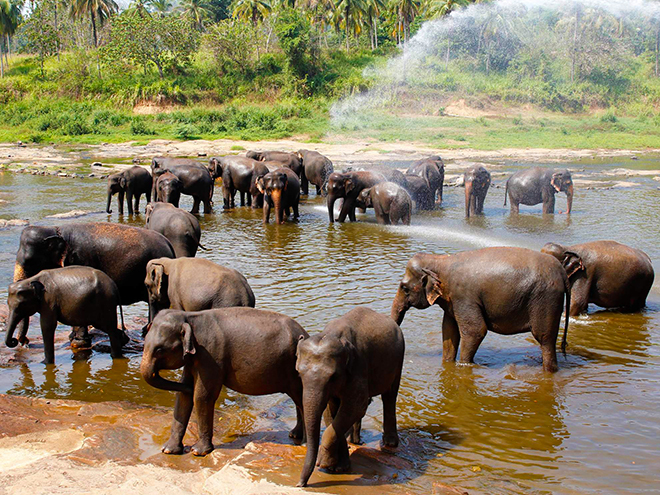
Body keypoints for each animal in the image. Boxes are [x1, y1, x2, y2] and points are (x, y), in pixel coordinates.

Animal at [13, 223, 175, 346]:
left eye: (29, 261)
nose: (24, 342)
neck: (55, 229)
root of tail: (169, 245)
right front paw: (73, 337)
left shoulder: (80, 260)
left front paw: (78, 341)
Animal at [140, 310, 310, 458]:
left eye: (160, 350)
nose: (190, 388)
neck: (189, 317)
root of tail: (305, 333)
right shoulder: (193, 361)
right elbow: (183, 397)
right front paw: (168, 450)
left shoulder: (210, 356)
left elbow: (202, 396)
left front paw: (198, 452)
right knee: (298, 401)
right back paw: (294, 434)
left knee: (301, 400)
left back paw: (303, 443)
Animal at [296, 306, 404, 488]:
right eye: (298, 373)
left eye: (332, 376)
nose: (300, 484)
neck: (333, 334)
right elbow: (330, 410)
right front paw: (337, 467)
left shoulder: (359, 365)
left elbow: (356, 406)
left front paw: (325, 463)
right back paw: (354, 441)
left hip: (398, 359)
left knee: (390, 395)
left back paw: (389, 443)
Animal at [392, 248, 572, 372]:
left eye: (404, 288)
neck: (440, 261)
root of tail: (562, 273)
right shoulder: (452, 301)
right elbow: (449, 331)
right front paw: (448, 363)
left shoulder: (464, 297)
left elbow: (475, 331)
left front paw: (464, 365)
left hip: (546, 300)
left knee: (544, 338)